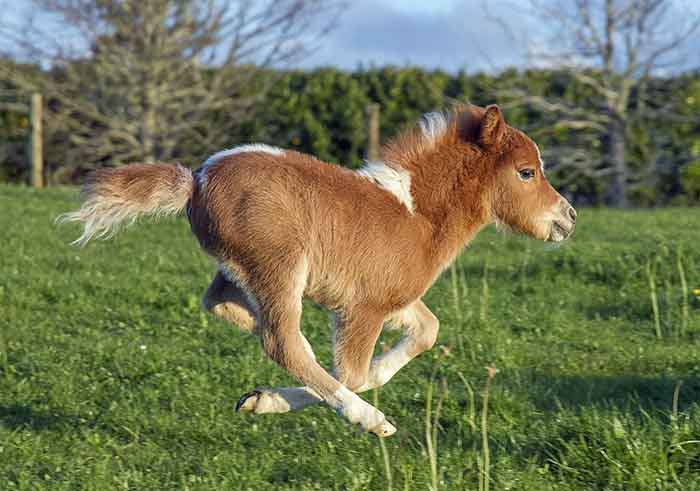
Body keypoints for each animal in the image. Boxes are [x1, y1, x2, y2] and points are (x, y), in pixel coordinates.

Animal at [61, 104, 576, 438]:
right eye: (527, 172)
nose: (568, 217)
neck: (416, 216)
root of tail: (197, 181)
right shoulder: (363, 309)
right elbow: (351, 374)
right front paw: (335, 407)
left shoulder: (395, 299)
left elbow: (424, 333)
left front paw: (263, 398)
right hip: (280, 265)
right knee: (283, 343)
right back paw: (365, 417)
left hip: (243, 268)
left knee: (224, 304)